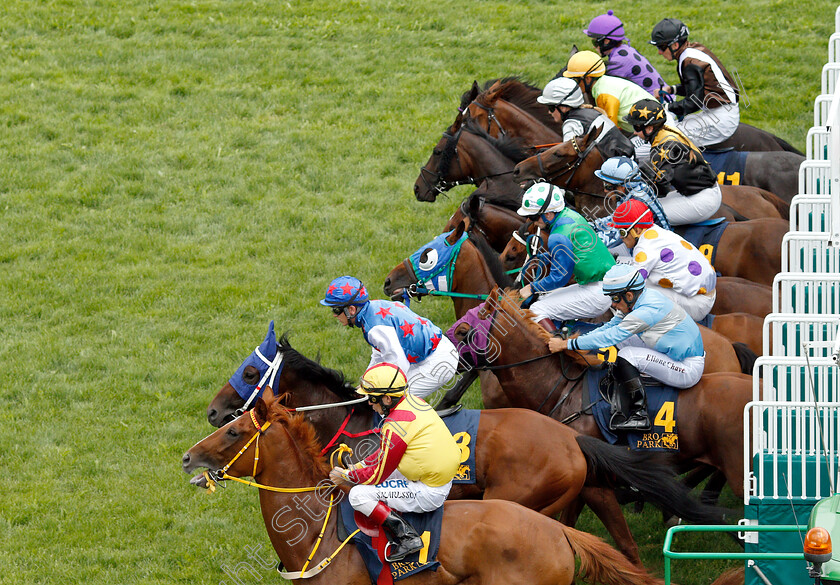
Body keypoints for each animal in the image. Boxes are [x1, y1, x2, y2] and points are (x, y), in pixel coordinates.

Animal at [202, 322, 720, 564]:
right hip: (582, 490)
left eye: (250, 371)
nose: (213, 411)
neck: (354, 423)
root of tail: (569, 437)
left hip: (516, 496)